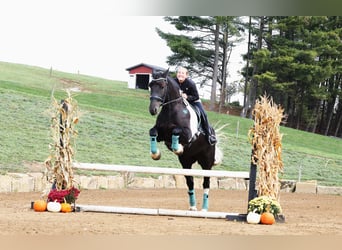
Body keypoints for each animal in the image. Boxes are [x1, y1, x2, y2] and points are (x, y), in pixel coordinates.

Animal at [148, 68, 220, 211]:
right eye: (150, 86)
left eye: (162, 86)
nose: (152, 109)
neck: (171, 109)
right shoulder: (160, 134)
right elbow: (152, 132)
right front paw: (155, 154)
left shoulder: (188, 135)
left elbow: (176, 131)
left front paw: (178, 148)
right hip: (186, 163)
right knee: (190, 182)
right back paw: (192, 206)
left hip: (207, 163)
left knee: (206, 183)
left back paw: (204, 208)